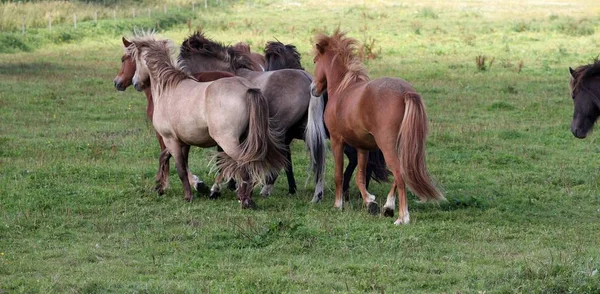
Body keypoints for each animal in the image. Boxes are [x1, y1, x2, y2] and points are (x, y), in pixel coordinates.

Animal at [127, 34, 288, 208]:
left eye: (135, 60)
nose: (136, 83)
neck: (168, 88)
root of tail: (247, 89)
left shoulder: (170, 139)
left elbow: (181, 168)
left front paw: (188, 196)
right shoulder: (183, 140)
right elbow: (167, 158)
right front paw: (160, 185)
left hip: (229, 142)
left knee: (244, 166)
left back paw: (244, 200)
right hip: (246, 138)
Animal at [178, 31, 326, 203]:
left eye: (181, 59)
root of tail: (308, 80)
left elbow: (224, 159)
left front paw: (221, 188)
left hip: (280, 132)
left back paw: (265, 189)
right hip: (305, 132)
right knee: (318, 159)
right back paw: (316, 194)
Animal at [308, 29, 442, 224]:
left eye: (315, 61)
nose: (313, 89)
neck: (343, 88)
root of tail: (405, 92)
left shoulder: (336, 141)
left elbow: (339, 175)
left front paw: (338, 204)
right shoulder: (362, 147)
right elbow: (360, 177)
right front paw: (370, 201)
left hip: (387, 146)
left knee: (400, 175)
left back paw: (402, 217)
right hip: (401, 145)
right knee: (401, 174)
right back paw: (388, 206)